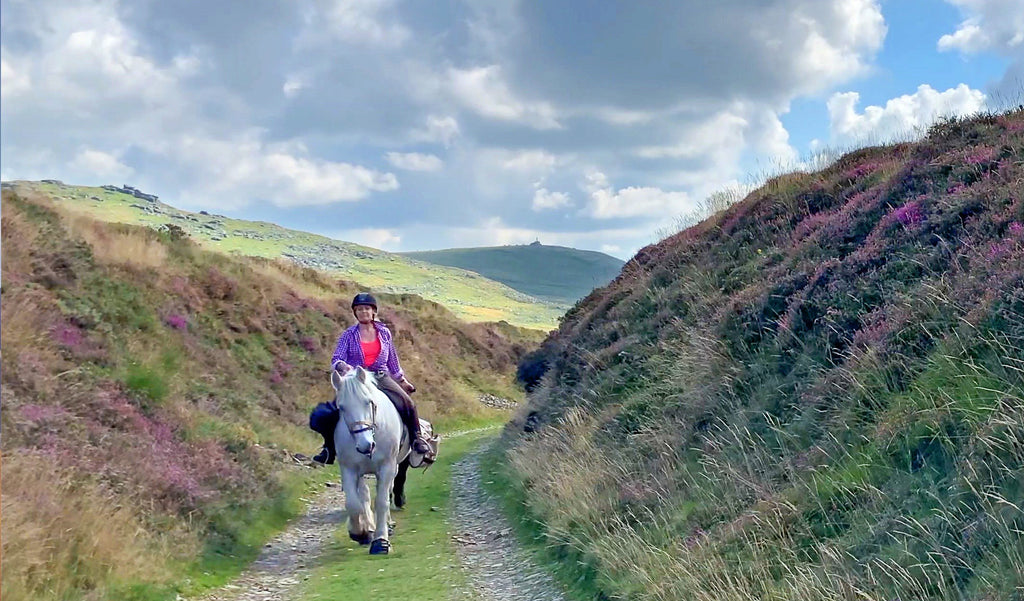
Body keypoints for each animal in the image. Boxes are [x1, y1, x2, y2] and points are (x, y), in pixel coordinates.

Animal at [327, 364, 407, 556]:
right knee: (363, 495)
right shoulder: (349, 468)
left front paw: (381, 542)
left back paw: (387, 525)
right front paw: (360, 533)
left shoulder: (387, 466)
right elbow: (354, 504)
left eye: (368, 402)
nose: (365, 446)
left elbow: (382, 501)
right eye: (341, 408)